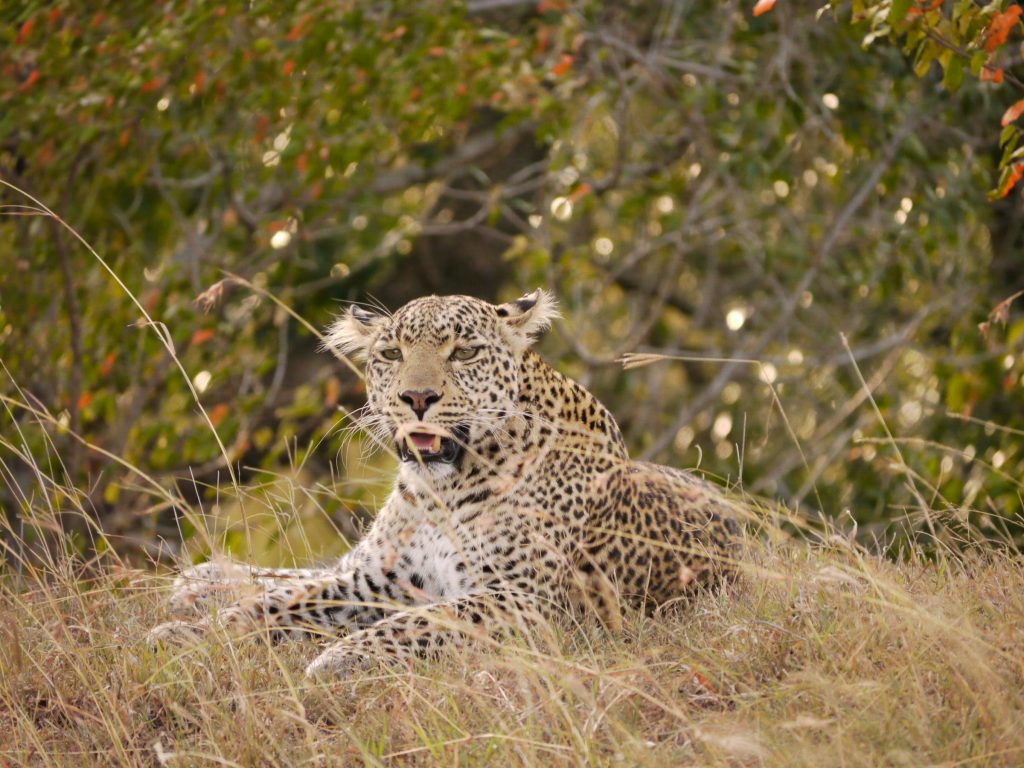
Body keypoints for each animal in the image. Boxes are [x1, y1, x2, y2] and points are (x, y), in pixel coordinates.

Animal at [148, 290, 739, 678]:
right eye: (391, 354)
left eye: (465, 352)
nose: (417, 398)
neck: (443, 492)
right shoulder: (373, 581)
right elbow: (275, 607)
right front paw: (194, 635)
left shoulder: (521, 599)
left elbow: (421, 620)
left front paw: (337, 658)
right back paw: (199, 585)